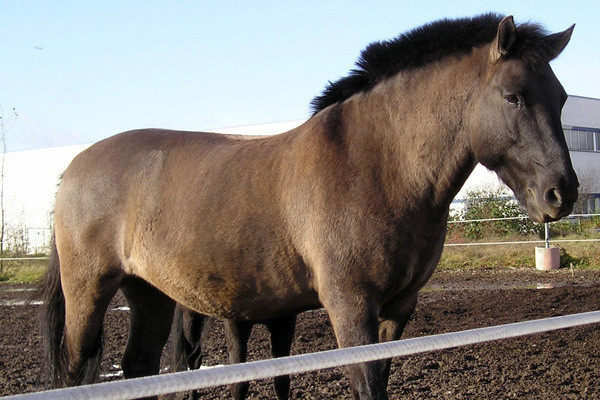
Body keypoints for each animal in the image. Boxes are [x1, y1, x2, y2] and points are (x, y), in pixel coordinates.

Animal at [38, 14, 576, 398]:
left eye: (563, 97)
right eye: (513, 96)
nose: (562, 193)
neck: (378, 163)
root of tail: (72, 169)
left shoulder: (398, 311)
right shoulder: (350, 308)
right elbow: (366, 386)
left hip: (150, 293)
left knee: (139, 369)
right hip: (89, 292)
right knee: (78, 372)